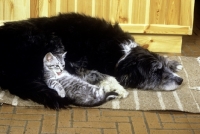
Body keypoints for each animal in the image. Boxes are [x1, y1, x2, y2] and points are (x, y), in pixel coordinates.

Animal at [0, 12, 182, 109]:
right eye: (156, 71)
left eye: (163, 68)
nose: (180, 81)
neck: (121, 56)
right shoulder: (75, 64)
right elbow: (102, 75)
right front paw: (118, 88)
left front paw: (175, 63)